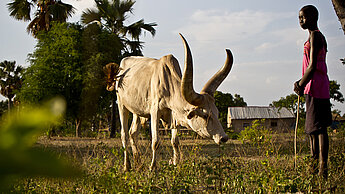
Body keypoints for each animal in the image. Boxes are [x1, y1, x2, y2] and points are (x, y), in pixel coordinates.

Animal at [106, 34, 232, 171]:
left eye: (216, 113)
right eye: (204, 115)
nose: (224, 138)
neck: (168, 85)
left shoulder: (175, 116)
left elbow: (175, 141)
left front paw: (175, 162)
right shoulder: (155, 112)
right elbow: (155, 142)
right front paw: (153, 167)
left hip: (137, 111)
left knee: (133, 133)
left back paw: (138, 163)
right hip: (122, 105)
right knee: (124, 135)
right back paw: (127, 166)